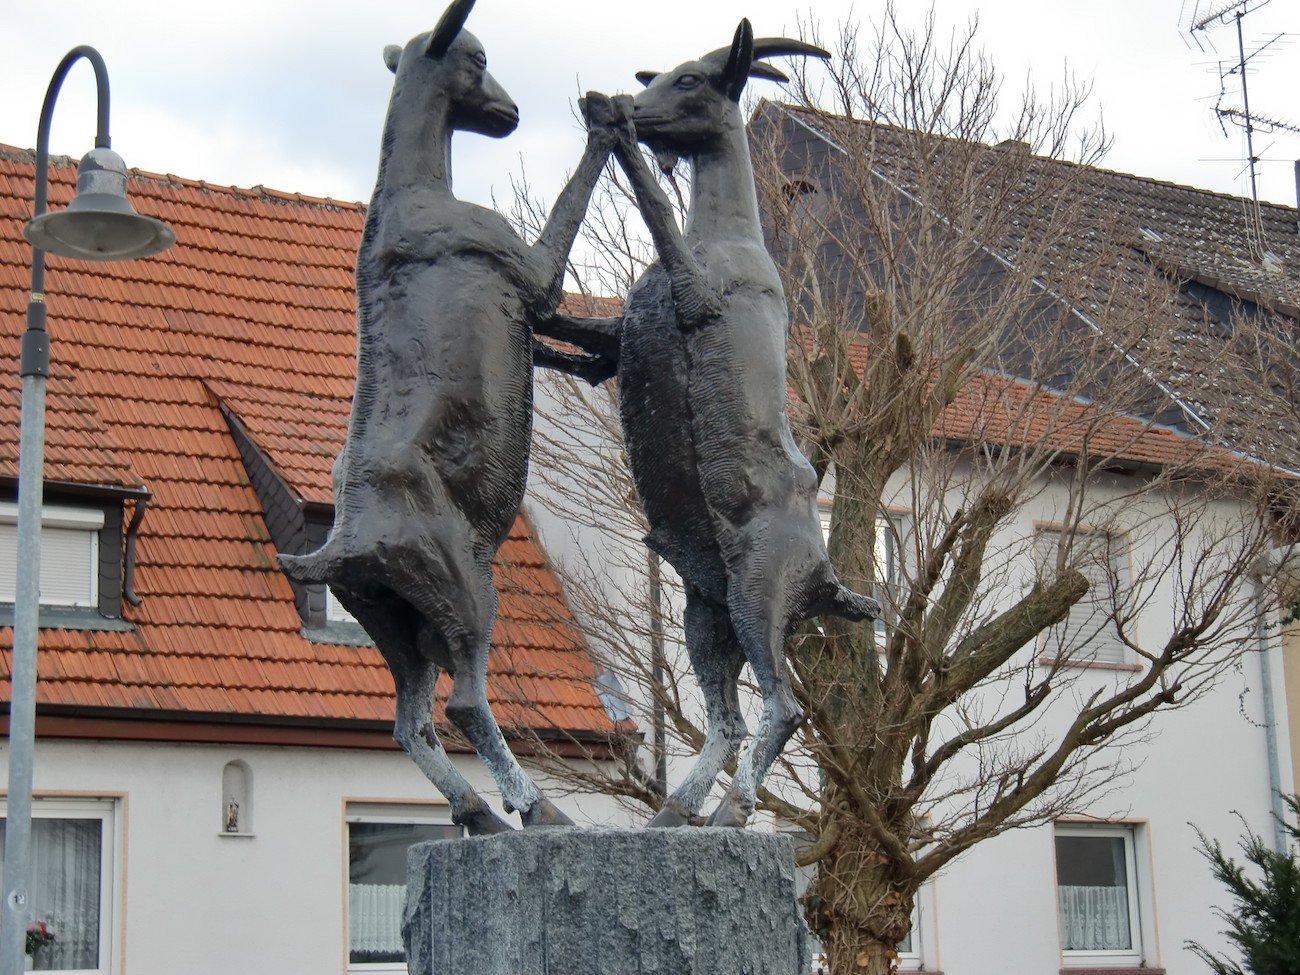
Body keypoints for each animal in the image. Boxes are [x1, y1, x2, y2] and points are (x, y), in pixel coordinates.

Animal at [278, 1, 618, 842]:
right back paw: (538, 808)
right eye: (476, 59)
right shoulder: (521, 265)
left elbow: (553, 337)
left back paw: (478, 810)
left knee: (410, 720)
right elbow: (553, 268)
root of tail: (342, 547)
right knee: (463, 699)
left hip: (392, 621)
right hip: (465, 590)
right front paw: (606, 120)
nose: (510, 110)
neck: (413, 196)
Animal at [548, 22, 883, 826]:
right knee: (728, 720)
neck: (728, 242)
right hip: (710, 615)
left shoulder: (699, 297)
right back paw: (674, 813)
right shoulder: (613, 346)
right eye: (665, 72)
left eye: (694, 81)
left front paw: (615, 133)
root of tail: (828, 578)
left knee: (783, 708)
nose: (619, 101)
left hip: (758, 595)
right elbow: (565, 333)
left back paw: (730, 811)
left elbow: (658, 212)